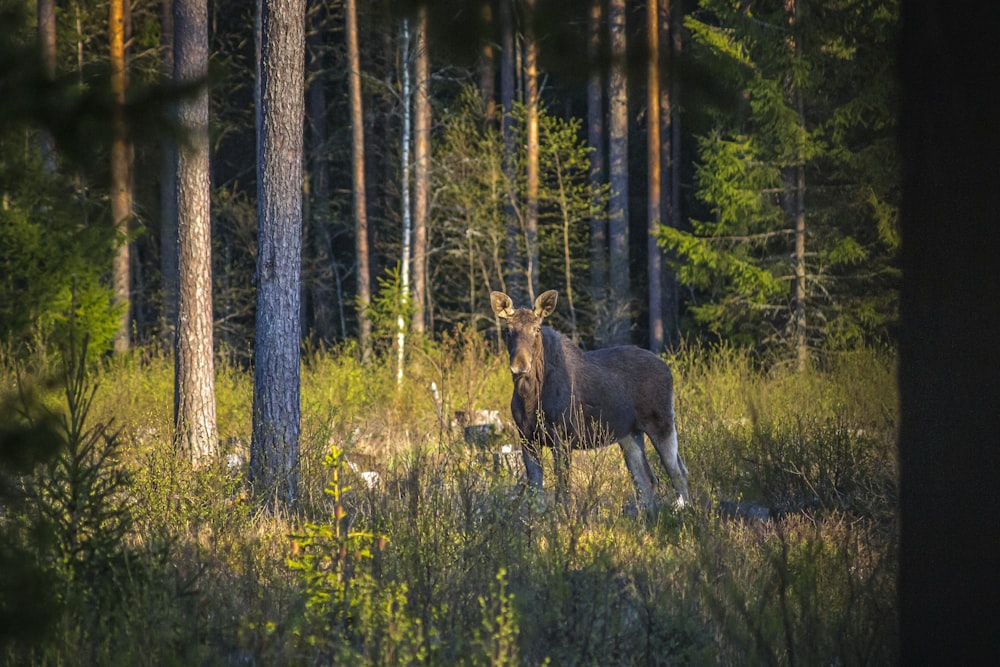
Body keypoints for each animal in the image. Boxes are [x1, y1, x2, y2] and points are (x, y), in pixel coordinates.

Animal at [490, 290, 688, 508]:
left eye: (537, 329)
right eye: (508, 330)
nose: (520, 365)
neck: (529, 397)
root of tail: (668, 369)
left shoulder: (562, 438)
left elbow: (563, 491)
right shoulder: (527, 439)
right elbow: (536, 495)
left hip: (662, 423)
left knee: (678, 473)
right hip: (629, 434)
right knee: (646, 480)